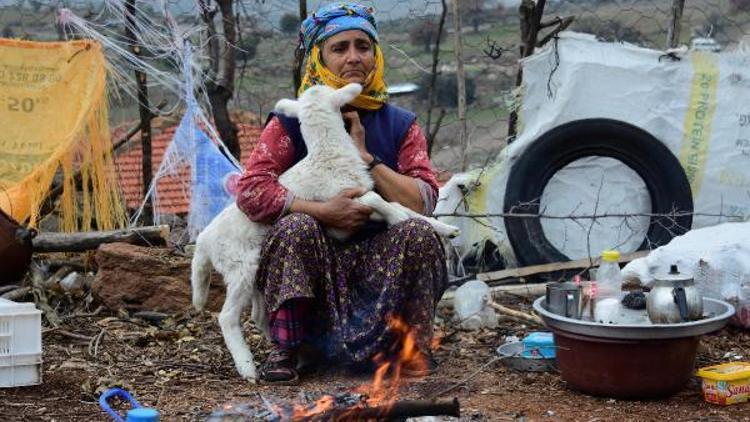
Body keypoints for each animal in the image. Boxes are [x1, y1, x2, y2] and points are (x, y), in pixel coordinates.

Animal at [191, 83, 462, 382]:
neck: (328, 153)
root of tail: (203, 241)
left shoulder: (363, 196)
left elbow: (400, 205)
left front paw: (445, 228)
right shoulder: (345, 202)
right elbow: (380, 202)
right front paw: (398, 219)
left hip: (253, 274)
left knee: (258, 315)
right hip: (241, 266)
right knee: (227, 317)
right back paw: (248, 366)